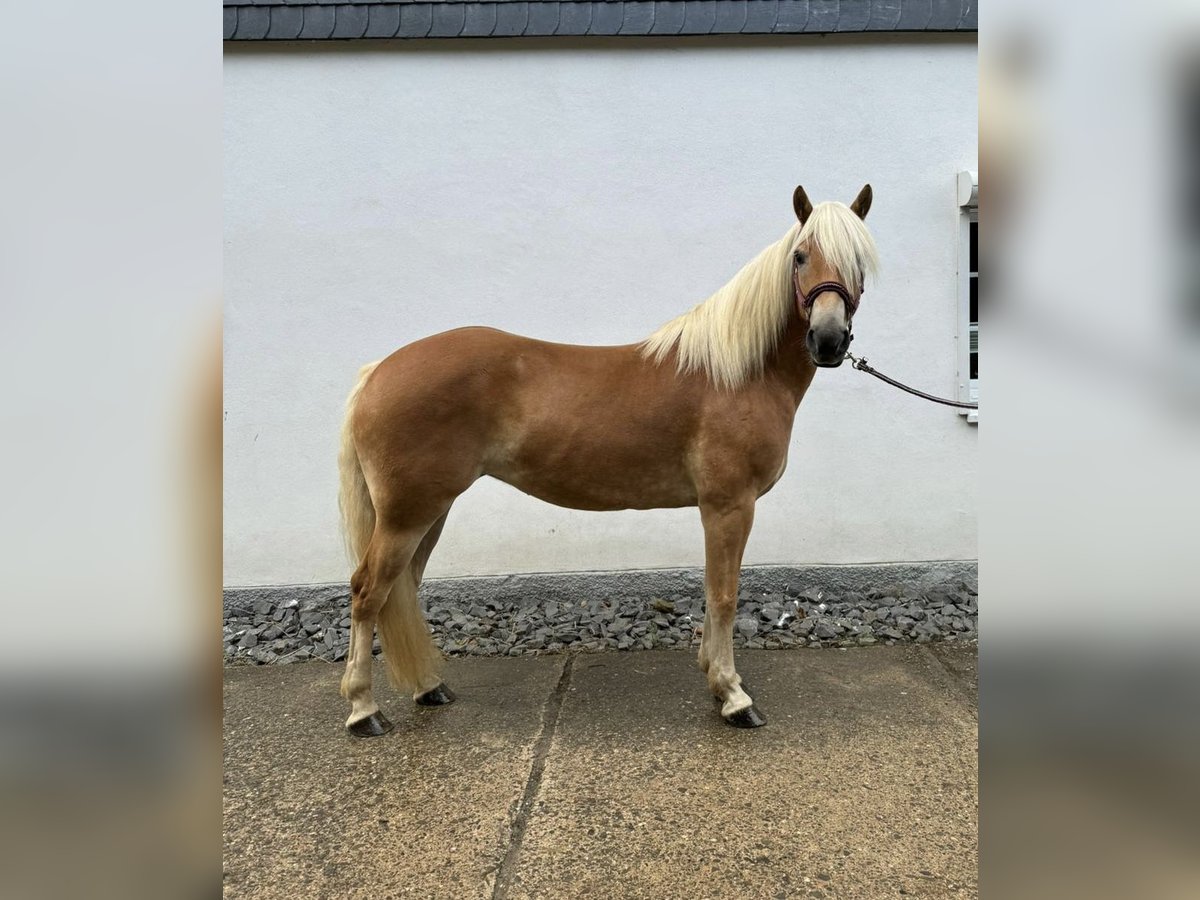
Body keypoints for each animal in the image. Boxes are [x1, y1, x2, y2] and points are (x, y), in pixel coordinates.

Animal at [333, 181, 878, 734]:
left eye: (859, 259)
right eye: (800, 255)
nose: (828, 340)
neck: (738, 374)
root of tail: (378, 371)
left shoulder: (719, 509)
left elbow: (712, 593)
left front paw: (714, 679)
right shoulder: (729, 506)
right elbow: (724, 595)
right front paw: (733, 696)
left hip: (429, 511)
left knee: (401, 590)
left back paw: (428, 688)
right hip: (408, 514)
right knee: (368, 591)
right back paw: (363, 710)